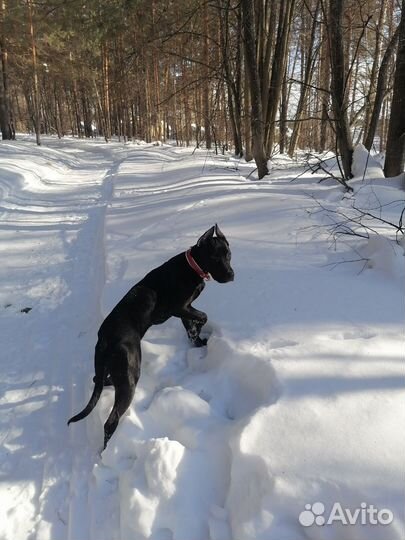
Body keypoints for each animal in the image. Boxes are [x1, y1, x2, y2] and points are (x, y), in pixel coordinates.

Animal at [66, 224, 230, 448]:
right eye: (215, 257)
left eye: (228, 254)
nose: (231, 275)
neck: (192, 266)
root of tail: (105, 340)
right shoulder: (179, 307)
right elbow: (203, 316)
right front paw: (199, 331)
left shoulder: (185, 310)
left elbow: (193, 326)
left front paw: (198, 340)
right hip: (130, 374)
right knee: (111, 421)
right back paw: (106, 449)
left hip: (109, 370)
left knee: (98, 379)